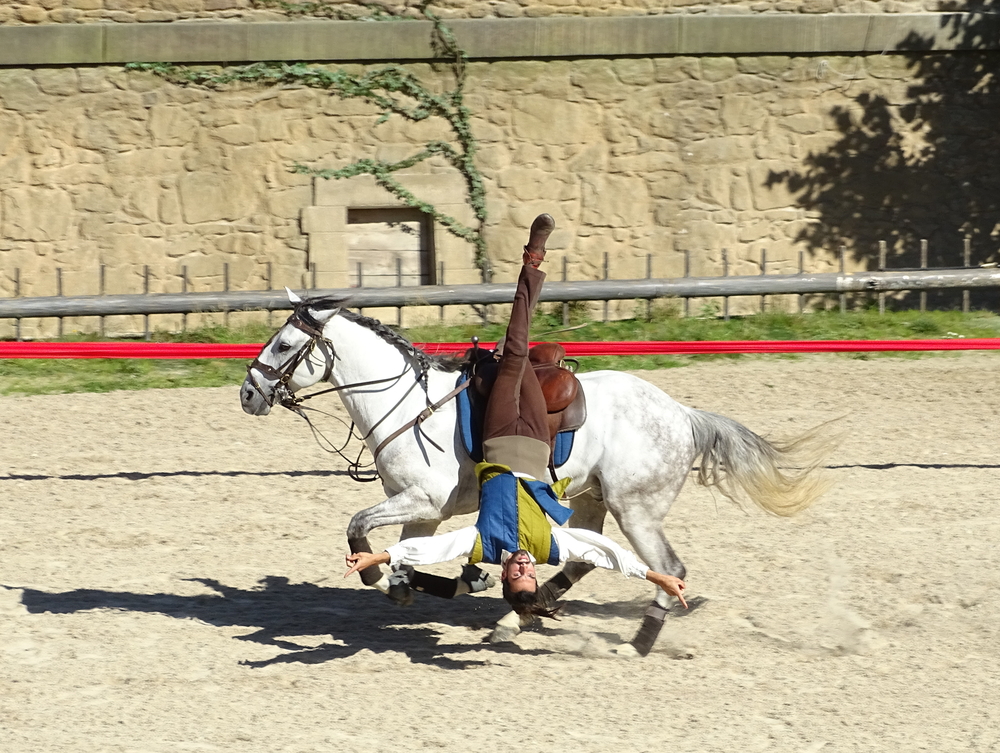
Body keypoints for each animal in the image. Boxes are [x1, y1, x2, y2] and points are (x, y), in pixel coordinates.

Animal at [238, 290, 832, 656]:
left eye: (284, 345)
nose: (247, 393)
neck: (408, 405)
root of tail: (683, 414)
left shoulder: (423, 502)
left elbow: (359, 527)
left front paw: (390, 579)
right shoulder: (422, 512)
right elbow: (402, 558)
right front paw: (428, 583)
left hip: (635, 508)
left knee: (668, 568)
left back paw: (632, 643)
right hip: (594, 499)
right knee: (588, 557)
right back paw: (524, 612)